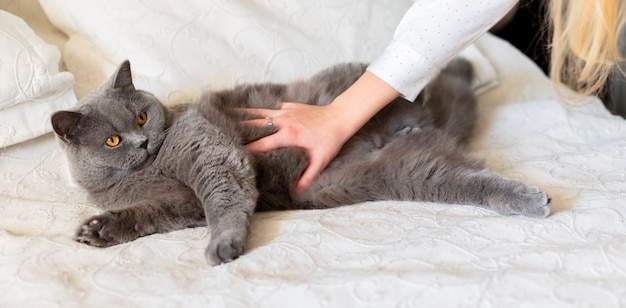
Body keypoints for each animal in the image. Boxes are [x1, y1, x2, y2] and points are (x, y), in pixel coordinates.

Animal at [51, 59, 548, 264]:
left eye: (141, 115)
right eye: (113, 140)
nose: (142, 142)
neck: (149, 173)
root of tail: (423, 127)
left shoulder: (207, 148)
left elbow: (225, 195)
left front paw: (223, 245)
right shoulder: (179, 204)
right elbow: (151, 214)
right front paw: (99, 230)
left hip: (343, 90)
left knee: (413, 82)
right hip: (400, 172)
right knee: (463, 176)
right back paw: (528, 199)